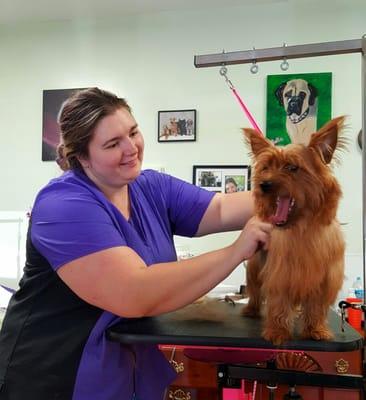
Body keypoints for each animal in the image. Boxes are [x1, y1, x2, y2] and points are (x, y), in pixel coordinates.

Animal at [243, 116, 346, 346]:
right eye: (265, 167)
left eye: (292, 167)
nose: (263, 185)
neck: (302, 229)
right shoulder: (281, 274)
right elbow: (280, 304)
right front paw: (278, 331)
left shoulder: (324, 280)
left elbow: (316, 307)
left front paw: (315, 329)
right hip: (254, 266)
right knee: (254, 289)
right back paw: (251, 309)